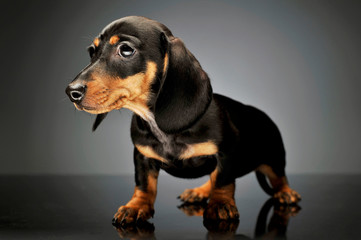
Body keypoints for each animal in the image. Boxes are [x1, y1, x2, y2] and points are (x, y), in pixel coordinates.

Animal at [66, 15, 300, 224]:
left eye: (126, 50)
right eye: (92, 51)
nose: (71, 92)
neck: (159, 125)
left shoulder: (227, 152)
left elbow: (223, 181)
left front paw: (221, 204)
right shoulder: (142, 156)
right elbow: (144, 184)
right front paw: (136, 206)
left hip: (275, 156)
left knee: (279, 177)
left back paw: (285, 193)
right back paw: (199, 192)